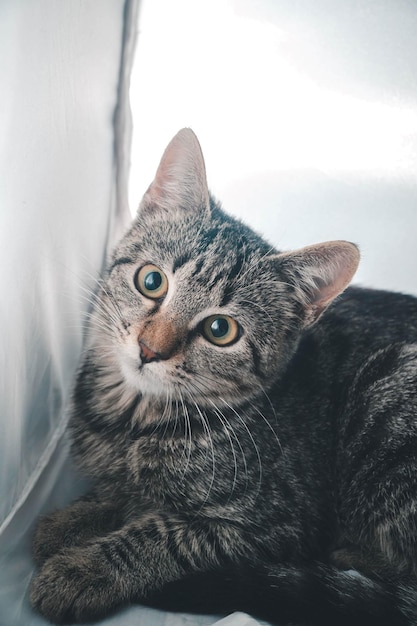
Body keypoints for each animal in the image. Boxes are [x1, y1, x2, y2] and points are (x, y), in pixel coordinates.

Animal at [30, 128, 416, 624]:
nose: (149, 349)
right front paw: (74, 517)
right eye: (151, 281)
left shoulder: (276, 523)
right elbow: (120, 492)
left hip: (388, 386)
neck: (131, 421)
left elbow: (166, 533)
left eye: (220, 330)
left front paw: (84, 569)